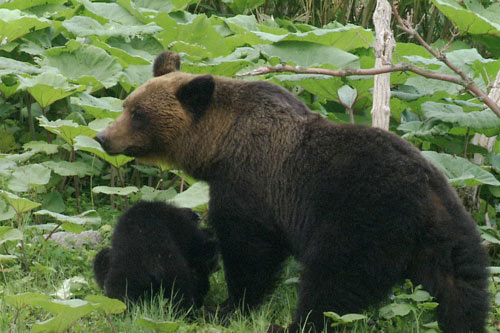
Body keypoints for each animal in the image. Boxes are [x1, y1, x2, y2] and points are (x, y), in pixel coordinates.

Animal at [95, 52, 490, 332]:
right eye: (126, 105)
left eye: (138, 114)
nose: (103, 136)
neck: (219, 145)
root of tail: (423, 196)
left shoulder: (250, 184)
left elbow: (249, 250)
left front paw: (226, 307)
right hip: (449, 228)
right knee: (463, 286)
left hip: (362, 219)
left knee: (333, 282)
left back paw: (292, 324)